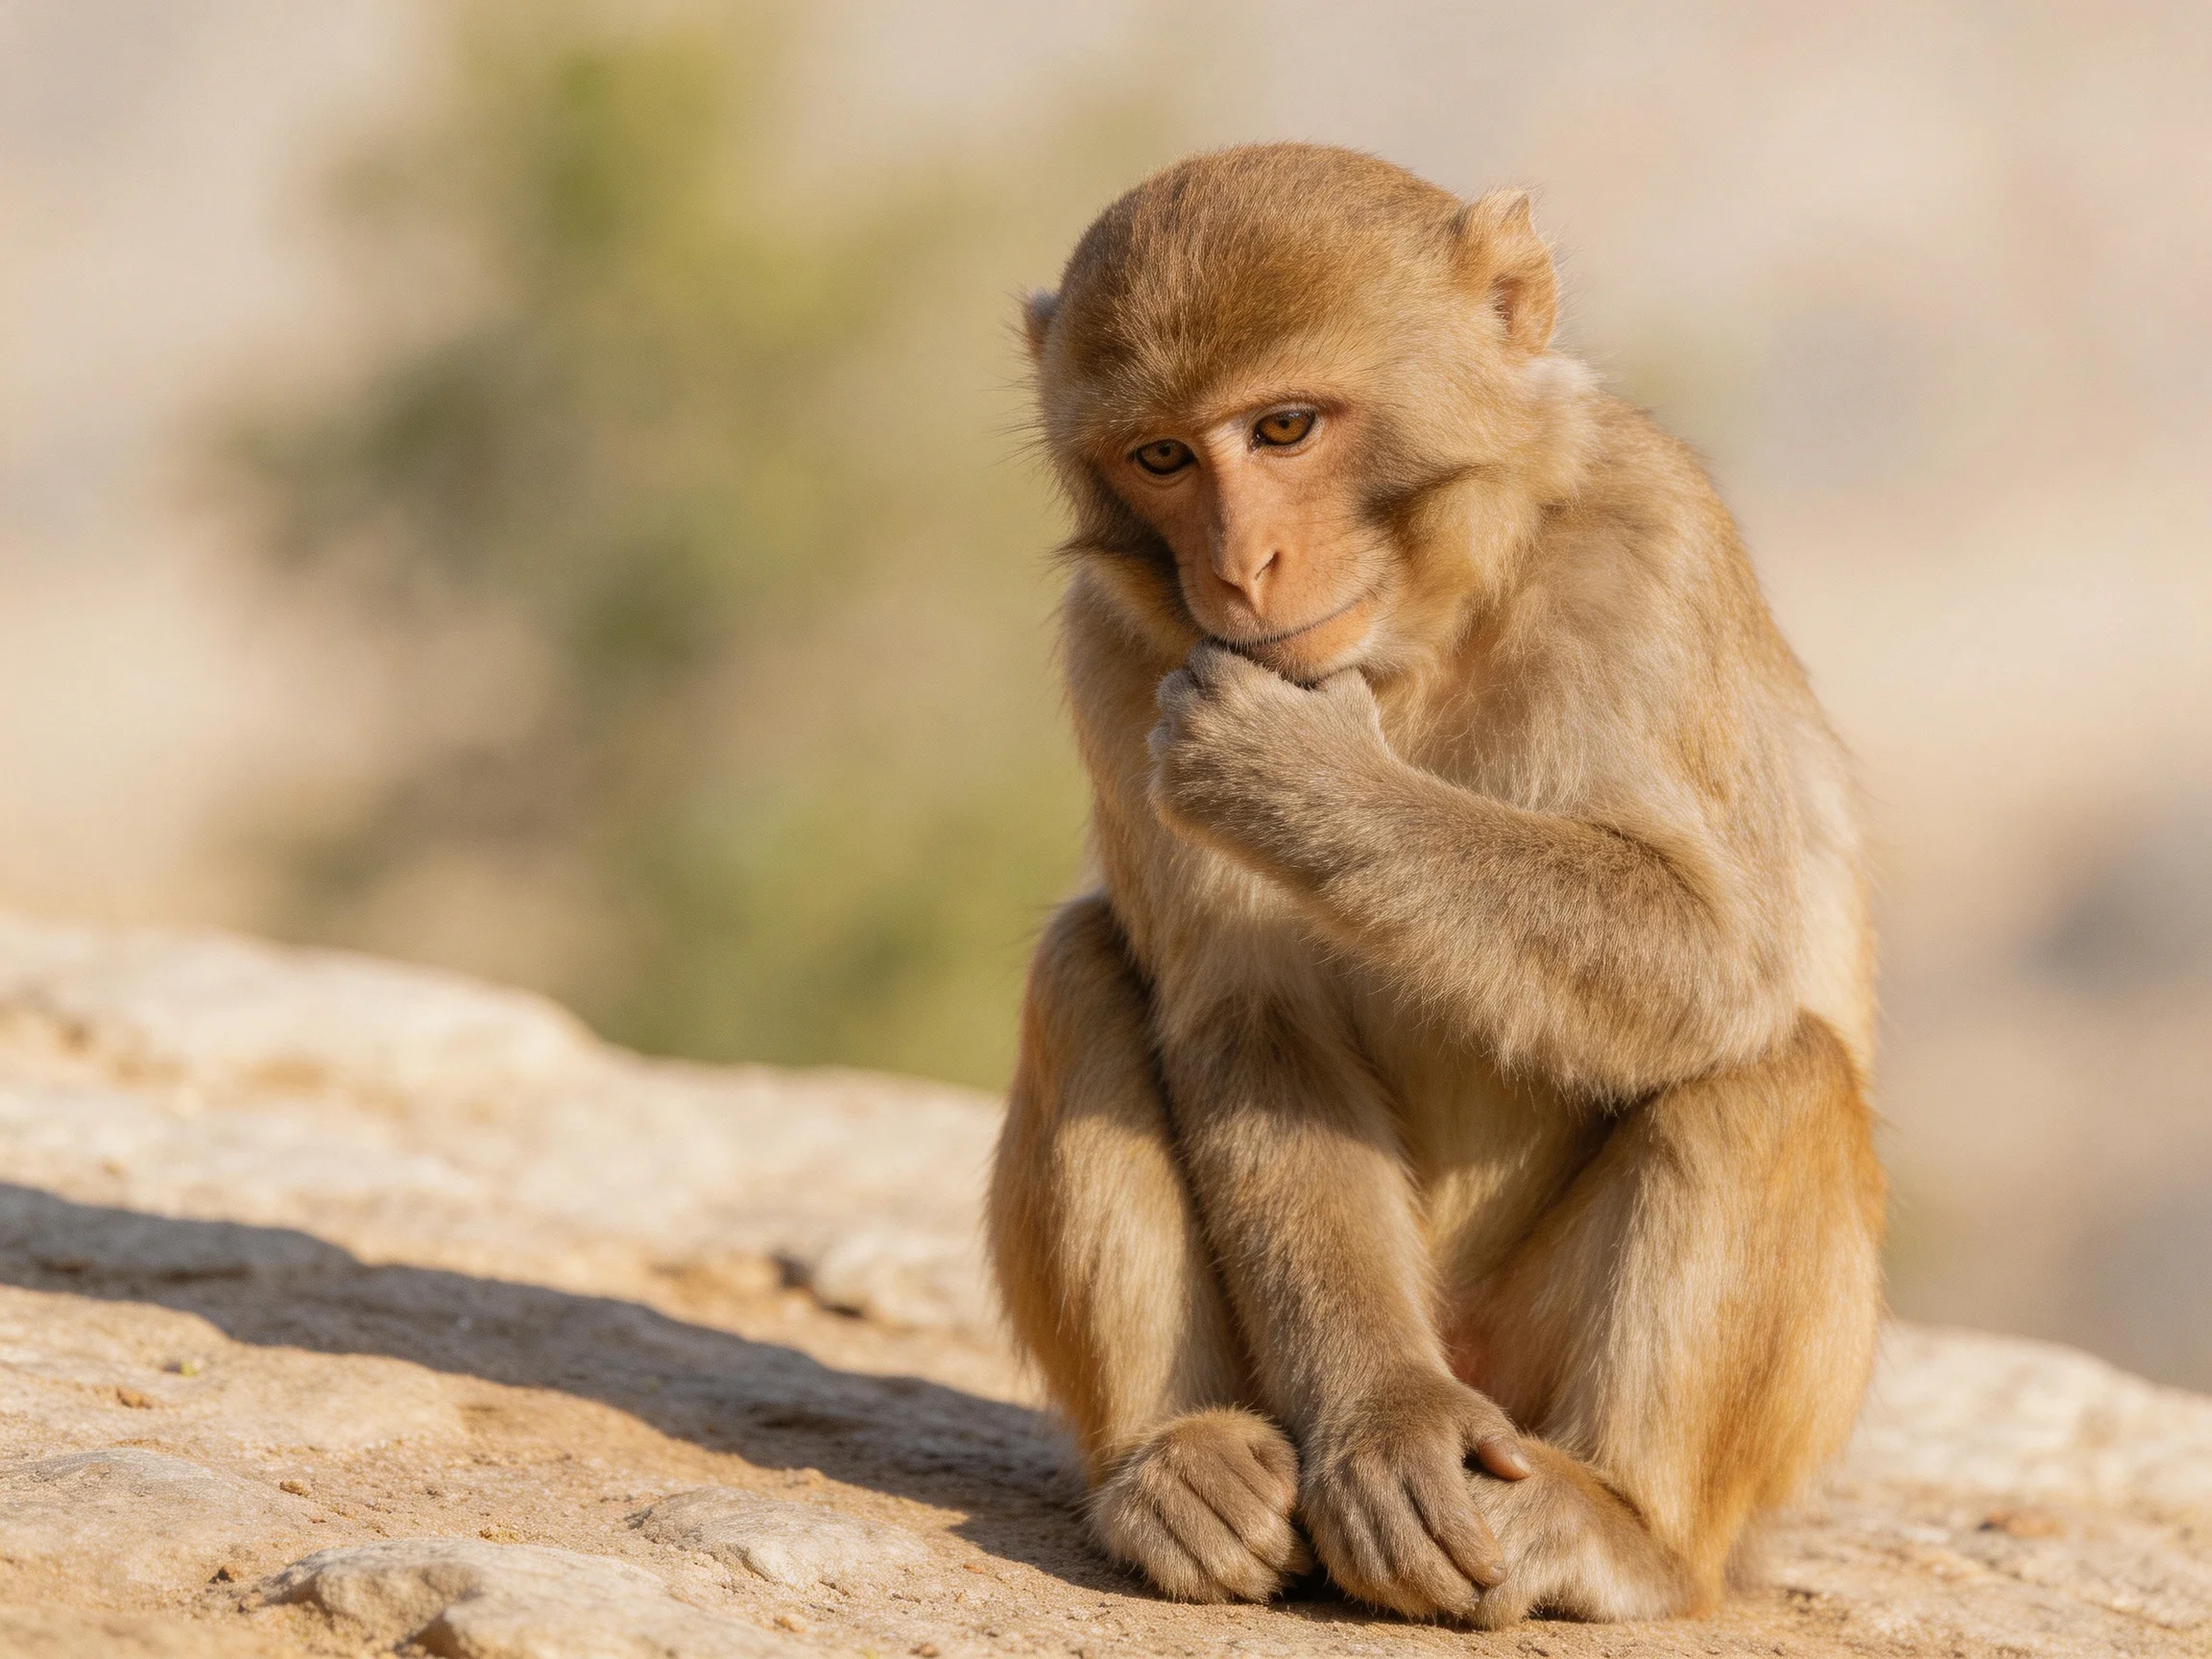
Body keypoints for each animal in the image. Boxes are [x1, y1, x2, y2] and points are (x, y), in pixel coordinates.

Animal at [986, 144, 1884, 1628]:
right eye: (1164, 457)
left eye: (1286, 427)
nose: (1236, 567)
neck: (1417, 640)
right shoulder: (1114, 653)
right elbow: (1251, 1019)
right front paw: (1389, 1424)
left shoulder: (1655, 550)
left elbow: (1720, 958)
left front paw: (1301, 778)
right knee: (1081, 966)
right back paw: (1176, 1462)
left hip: (1562, 1387)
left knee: (1774, 1070)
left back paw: (1627, 1527)